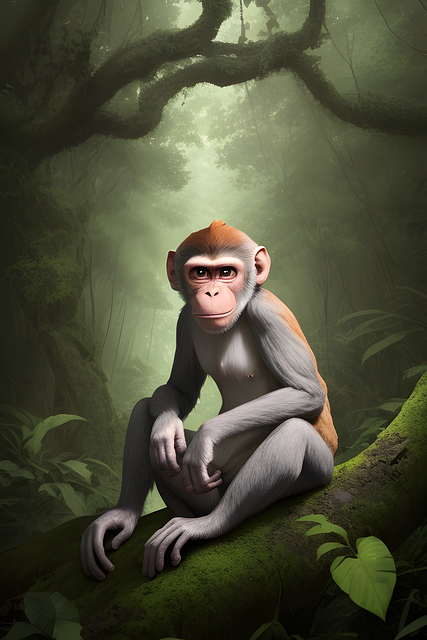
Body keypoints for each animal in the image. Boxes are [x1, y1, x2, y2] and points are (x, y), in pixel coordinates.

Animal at [80, 220, 337, 580]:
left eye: (226, 272)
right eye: (201, 272)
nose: (212, 292)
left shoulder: (267, 313)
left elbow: (308, 392)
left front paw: (205, 435)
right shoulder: (185, 319)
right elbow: (178, 391)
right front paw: (166, 428)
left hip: (317, 470)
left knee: (294, 434)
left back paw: (210, 524)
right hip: (205, 490)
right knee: (145, 411)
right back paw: (125, 513)